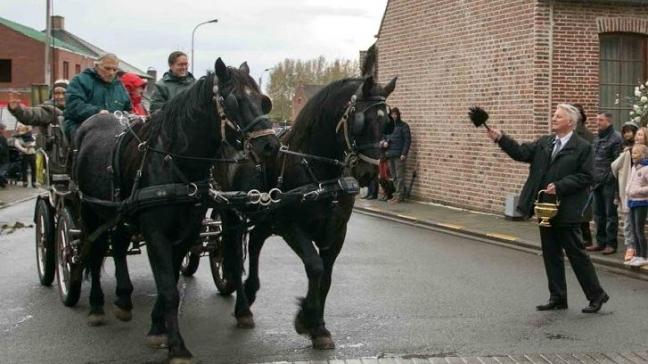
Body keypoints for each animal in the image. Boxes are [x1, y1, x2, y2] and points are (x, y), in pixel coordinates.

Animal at [74, 58, 278, 362]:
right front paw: (178, 346)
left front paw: (158, 329)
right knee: (94, 251)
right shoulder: (156, 233)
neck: (173, 162)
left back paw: (123, 299)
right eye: (234, 100)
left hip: (121, 215)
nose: (270, 145)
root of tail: (93, 122)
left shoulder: (186, 232)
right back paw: (97, 306)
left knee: (119, 245)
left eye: (262, 101)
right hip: (90, 210)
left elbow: (167, 284)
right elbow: (169, 289)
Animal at [218, 72, 398, 348]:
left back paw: (251, 289)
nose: (368, 173)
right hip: (231, 215)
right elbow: (315, 267)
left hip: (266, 218)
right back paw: (243, 309)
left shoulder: (336, 231)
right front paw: (306, 319)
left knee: (256, 241)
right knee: (236, 256)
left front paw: (319, 327)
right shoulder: (290, 226)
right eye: (359, 120)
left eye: (387, 122)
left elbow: (327, 277)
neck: (318, 171)